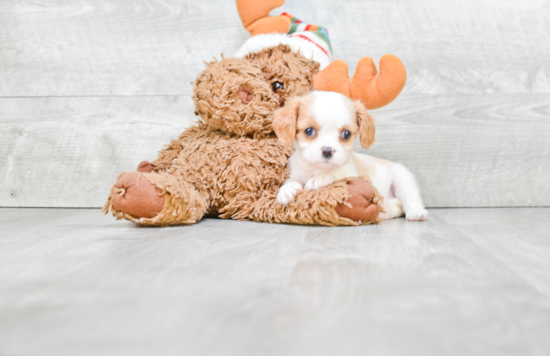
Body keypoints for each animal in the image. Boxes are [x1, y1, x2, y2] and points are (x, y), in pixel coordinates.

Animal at [274, 90, 430, 221]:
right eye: (309, 131)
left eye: (346, 134)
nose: (327, 150)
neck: (317, 168)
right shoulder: (297, 173)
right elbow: (292, 181)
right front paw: (287, 189)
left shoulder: (351, 173)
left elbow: (335, 173)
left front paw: (320, 178)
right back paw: (385, 210)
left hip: (403, 179)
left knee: (410, 200)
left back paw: (415, 212)